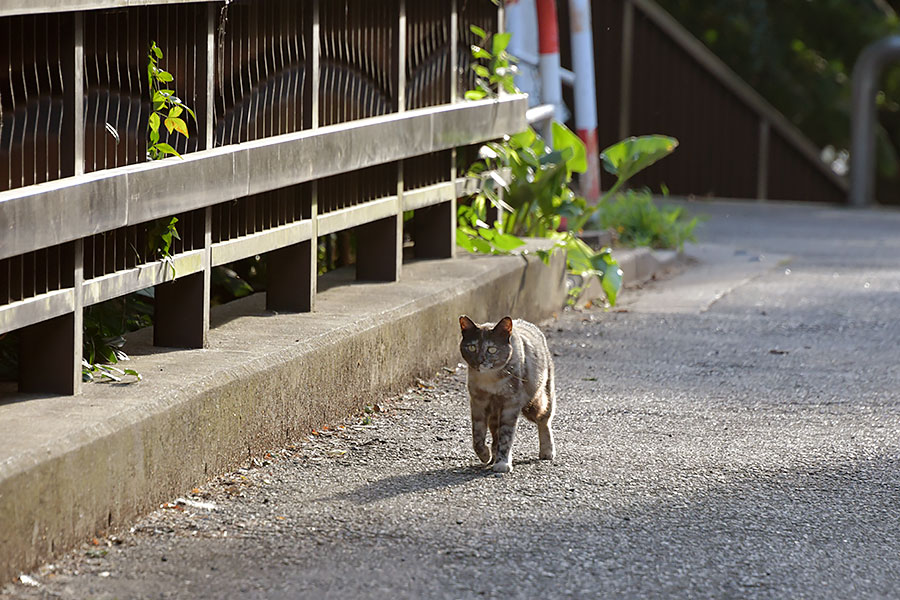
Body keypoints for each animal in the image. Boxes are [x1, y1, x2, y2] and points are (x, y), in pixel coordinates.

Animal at [458, 314, 556, 474]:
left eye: (492, 349)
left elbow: (506, 436)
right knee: (494, 433)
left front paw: (502, 462)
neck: (490, 380)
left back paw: (547, 451)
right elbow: (477, 435)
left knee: (544, 421)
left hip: (540, 400)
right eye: (472, 347)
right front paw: (484, 454)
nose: (480, 360)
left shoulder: (511, 404)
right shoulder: (478, 403)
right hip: (494, 413)